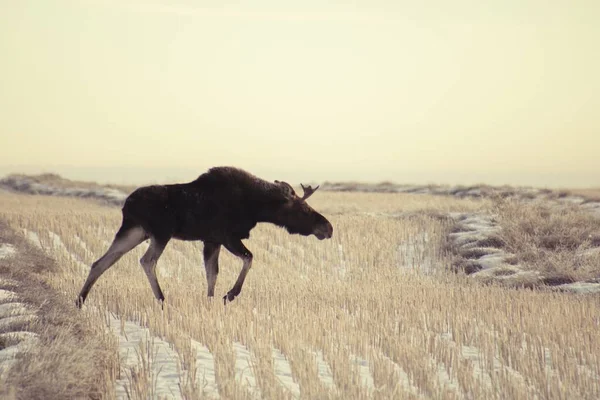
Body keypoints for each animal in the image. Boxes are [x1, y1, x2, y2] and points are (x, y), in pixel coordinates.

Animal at [75, 166, 332, 306]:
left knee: (101, 261)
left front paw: (210, 301)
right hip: (160, 232)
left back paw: (79, 301)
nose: (328, 228)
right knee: (147, 261)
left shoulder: (211, 240)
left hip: (134, 231)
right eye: (302, 209)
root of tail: (127, 205)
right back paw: (162, 299)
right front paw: (230, 295)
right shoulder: (227, 236)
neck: (257, 207)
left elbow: (212, 273)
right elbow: (248, 259)